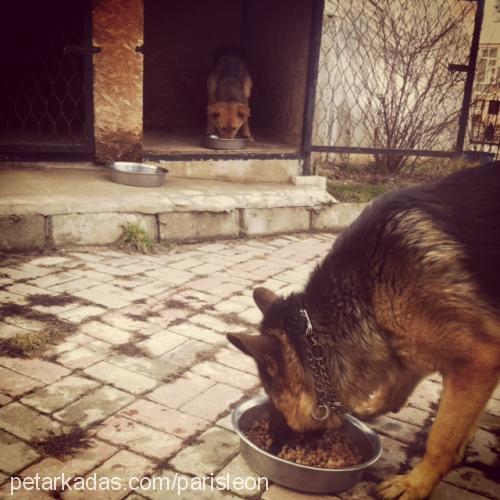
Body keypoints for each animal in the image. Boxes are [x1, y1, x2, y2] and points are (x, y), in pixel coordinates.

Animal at [229, 162, 500, 498]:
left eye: (273, 399)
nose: (275, 444)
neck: (369, 290)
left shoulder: (478, 361)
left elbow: (441, 439)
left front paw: (415, 484)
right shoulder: (408, 343)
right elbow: (399, 387)